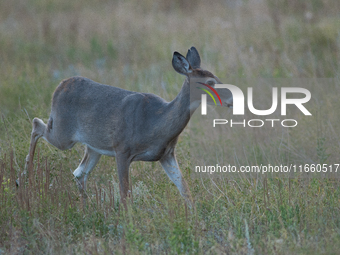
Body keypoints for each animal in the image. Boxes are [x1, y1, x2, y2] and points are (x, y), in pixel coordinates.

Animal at [18, 46, 234, 208]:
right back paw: (24, 178)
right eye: (210, 82)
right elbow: (125, 195)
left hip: (93, 146)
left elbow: (185, 190)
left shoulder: (166, 154)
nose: (232, 98)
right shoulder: (122, 149)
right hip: (64, 135)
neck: (156, 123)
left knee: (79, 173)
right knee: (37, 124)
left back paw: (87, 207)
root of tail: (60, 85)